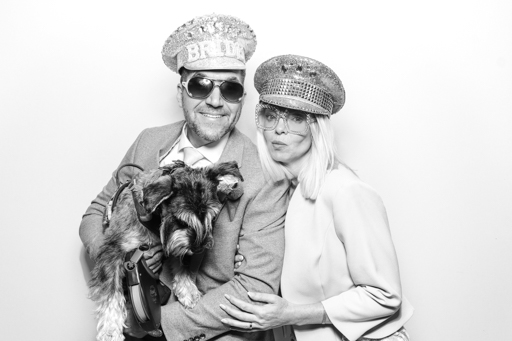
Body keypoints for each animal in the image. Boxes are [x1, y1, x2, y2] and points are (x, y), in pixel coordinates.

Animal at [88, 160, 244, 340]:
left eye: (212, 217)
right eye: (181, 221)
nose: (198, 248)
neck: (153, 219)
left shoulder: (174, 243)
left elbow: (182, 265)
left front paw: (188, 290)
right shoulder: (113, 251)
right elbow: (111, 292)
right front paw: (110, 330)